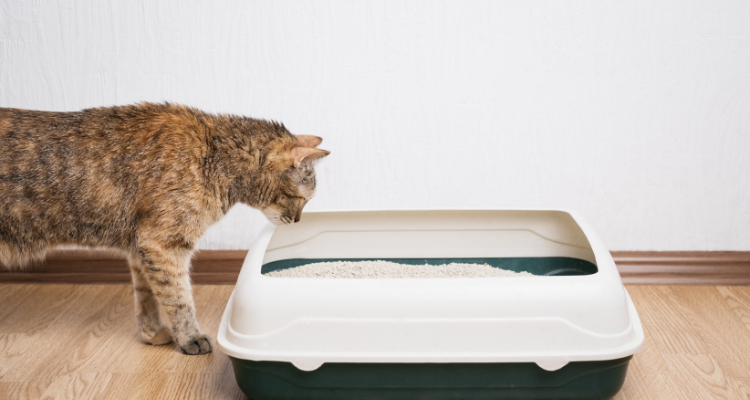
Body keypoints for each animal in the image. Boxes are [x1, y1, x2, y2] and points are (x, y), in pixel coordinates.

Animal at [0, 102, 330, 354]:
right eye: (301, 199)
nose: (297, 220)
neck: (213, 155)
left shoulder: (141, 247)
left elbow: (147, 297)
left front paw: (153, 333)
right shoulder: (163, 244)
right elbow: (179, 297)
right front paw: (190, 338)